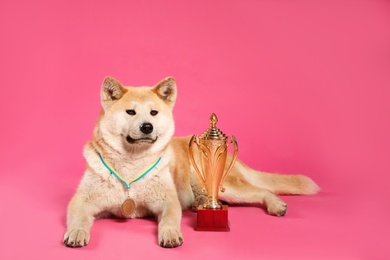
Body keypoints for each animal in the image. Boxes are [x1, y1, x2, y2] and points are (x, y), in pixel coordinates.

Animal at [63, 75, 320, 248]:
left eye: (154, 113)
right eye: (130, 112)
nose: (147, 126)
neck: (131, 167)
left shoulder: (168, 201)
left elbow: (169, 218)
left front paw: (169, 234)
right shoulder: (81, 201)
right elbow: (78, 216)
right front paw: (76, 232)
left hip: (222, 185)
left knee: (262, 191)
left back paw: (275, 205)